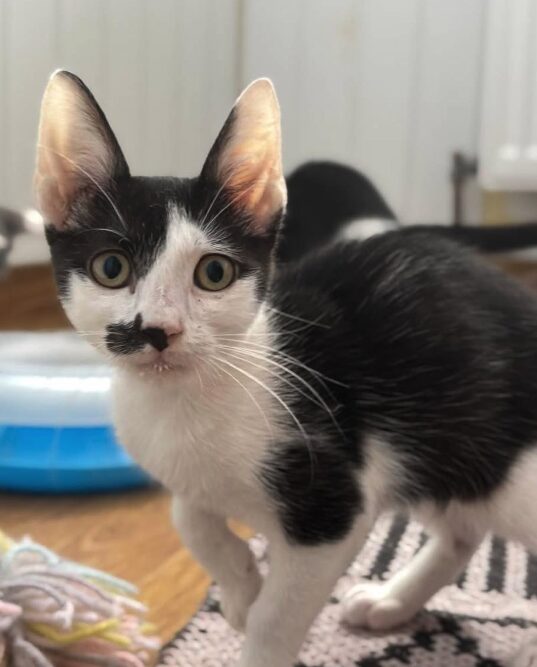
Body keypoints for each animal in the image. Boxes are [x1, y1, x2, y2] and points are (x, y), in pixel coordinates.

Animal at [35, 69, 536, 667]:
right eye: (111, 267)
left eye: (214, 273)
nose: (159, 330)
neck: (187, 402)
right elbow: (189, 517)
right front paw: (240, 587)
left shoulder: (336, 507)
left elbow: (277, 617)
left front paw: (255, 619)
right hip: (444, 457)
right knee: (464, 530)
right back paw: (392, 600)